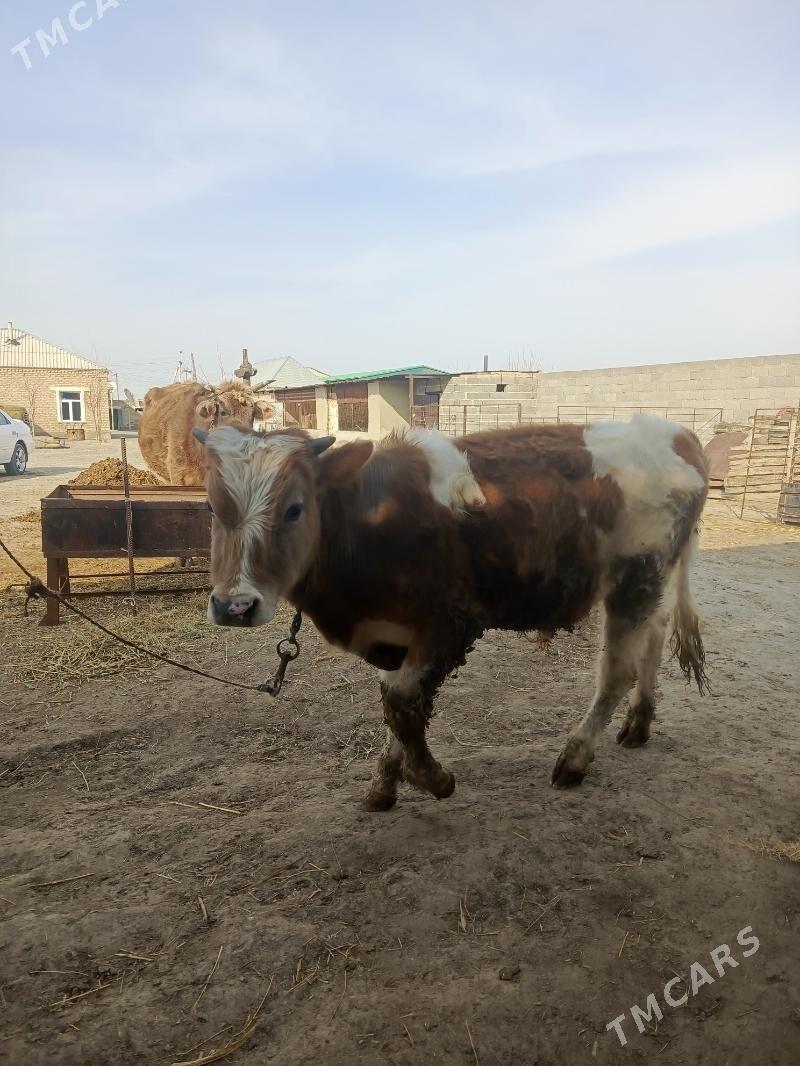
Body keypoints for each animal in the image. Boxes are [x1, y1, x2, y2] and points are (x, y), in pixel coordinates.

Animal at [193, 417, 709, 810]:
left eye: (295, 509)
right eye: (212, 508)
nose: (235, 606)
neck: (369, 516)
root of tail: (678, 432)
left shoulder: (451, 623)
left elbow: (400, 701)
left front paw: (431, 778)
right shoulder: (396, 635)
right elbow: (396, 707)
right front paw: (385, 782)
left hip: (637, 577)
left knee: (617, 671)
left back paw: (576, 757)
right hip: (650, 581)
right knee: (655, 637)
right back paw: (639, 722)